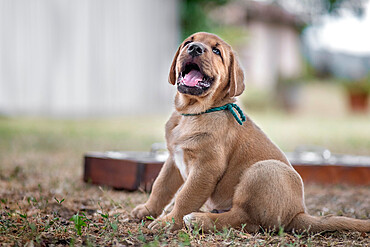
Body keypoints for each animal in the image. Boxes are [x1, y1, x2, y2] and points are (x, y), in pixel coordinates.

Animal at [132, 31, 368, 233]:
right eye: (188, 42)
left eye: (216, 51)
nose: (195, 48)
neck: (192, 113)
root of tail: (298, 213)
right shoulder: (173, 159)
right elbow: (161, 187)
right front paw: (147, 210)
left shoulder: (206, 166)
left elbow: (185, 197)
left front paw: (169, 221)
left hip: (264, 171)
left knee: (243, 218)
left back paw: (199, 219)